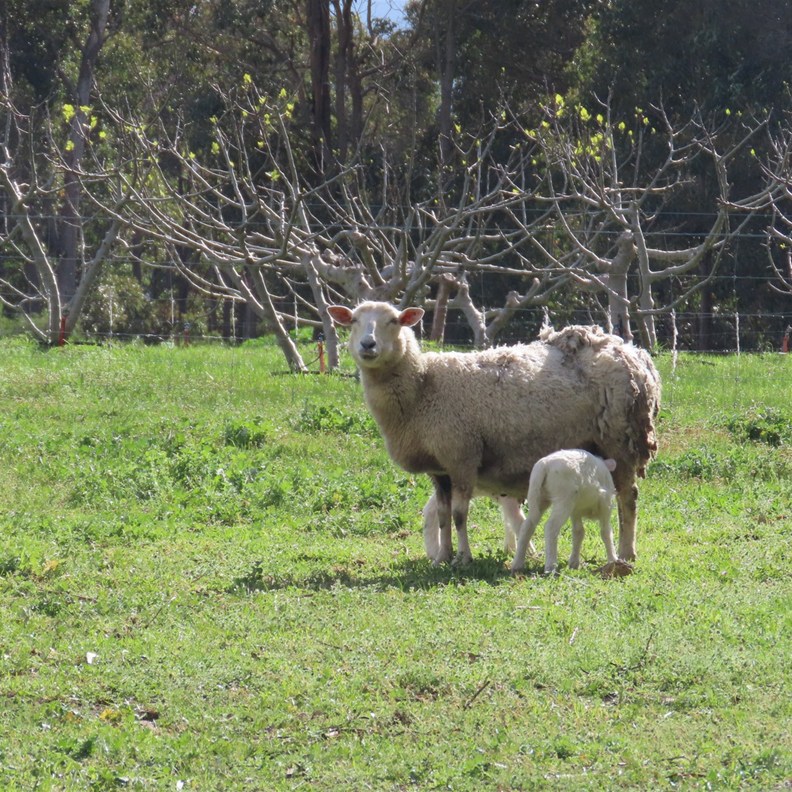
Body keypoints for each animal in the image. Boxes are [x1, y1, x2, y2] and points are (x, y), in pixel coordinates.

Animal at [327, 301, 660, 566]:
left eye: (394, 320)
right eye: (353, 320)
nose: (367, 345)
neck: (423, 386)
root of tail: (634, 353)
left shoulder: (462, 456)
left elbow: (460, 515)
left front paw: (464, 558)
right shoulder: (440, 469)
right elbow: (444, 516)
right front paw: (443, 557)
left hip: (620, 440)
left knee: (628, 497)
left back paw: (627, 551)